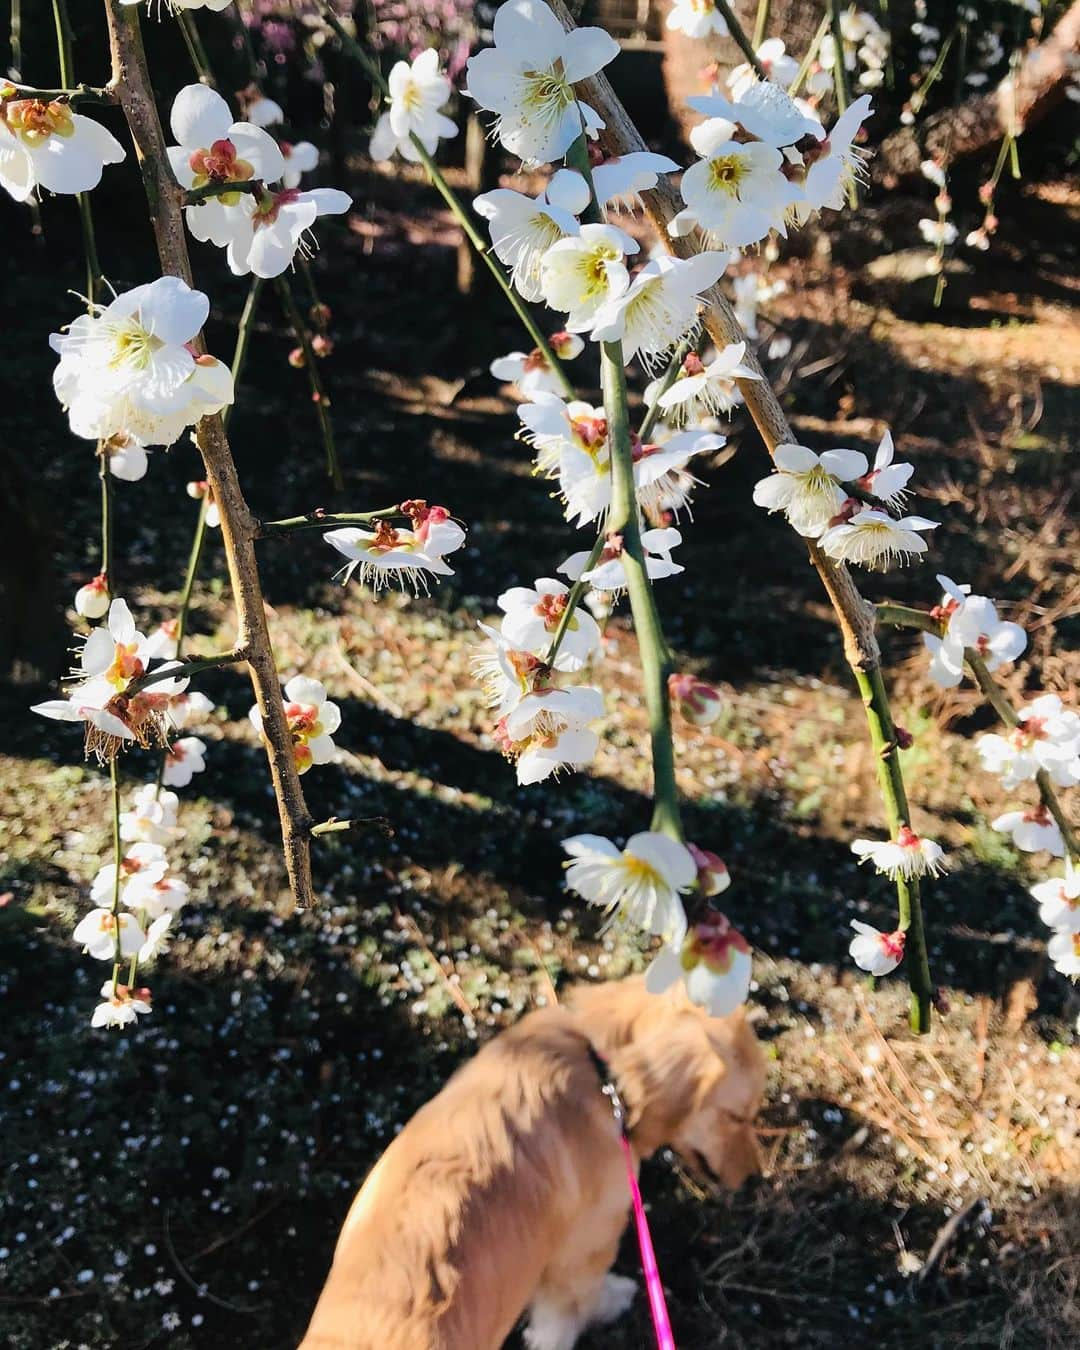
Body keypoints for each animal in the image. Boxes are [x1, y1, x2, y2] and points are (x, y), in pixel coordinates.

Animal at [299, 977, 761, 1344]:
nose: (755, 1177)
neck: (601, 1072)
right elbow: (573, 1305)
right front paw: (608, 1301)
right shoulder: (587, 1243)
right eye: (739, 1116)